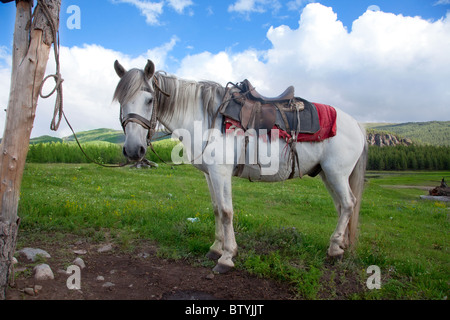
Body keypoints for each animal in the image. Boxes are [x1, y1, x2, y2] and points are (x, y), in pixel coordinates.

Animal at [113, 59, 370, 272]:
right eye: (121, 101)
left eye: (149, 100)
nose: (133, 150)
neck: (206, 117)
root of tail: (357, 124)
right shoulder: (209, 175)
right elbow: (216, 209)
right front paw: (215, 248)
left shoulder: (221, 172)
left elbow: (227, 212)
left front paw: (227, 257)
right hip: (327, 174)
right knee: (341, 206)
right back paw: (342, 244)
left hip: (336, 173)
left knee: (348, 204)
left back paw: (334, 250)